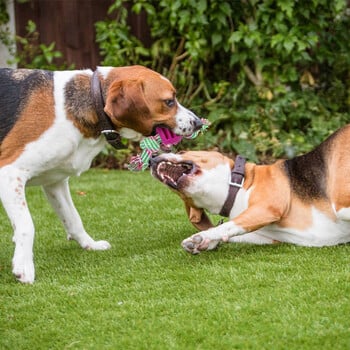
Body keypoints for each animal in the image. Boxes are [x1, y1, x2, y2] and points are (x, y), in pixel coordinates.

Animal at [0, 65, 202, 284]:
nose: (198, 123)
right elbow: (26, 225)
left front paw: (89, 244)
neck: (91, 100)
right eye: (169, 102)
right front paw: (23, 266)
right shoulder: (9, 174)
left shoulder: (56, 182)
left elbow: (73, 218)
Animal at [151, 124, 350, 253]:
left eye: (182, 152)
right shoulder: (268, 236)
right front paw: (202, 241)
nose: (152, 159)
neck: (238, 184)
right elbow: (232, 232)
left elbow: (229, 225)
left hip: (339, 204)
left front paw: (204, 237)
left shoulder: (267, 208)